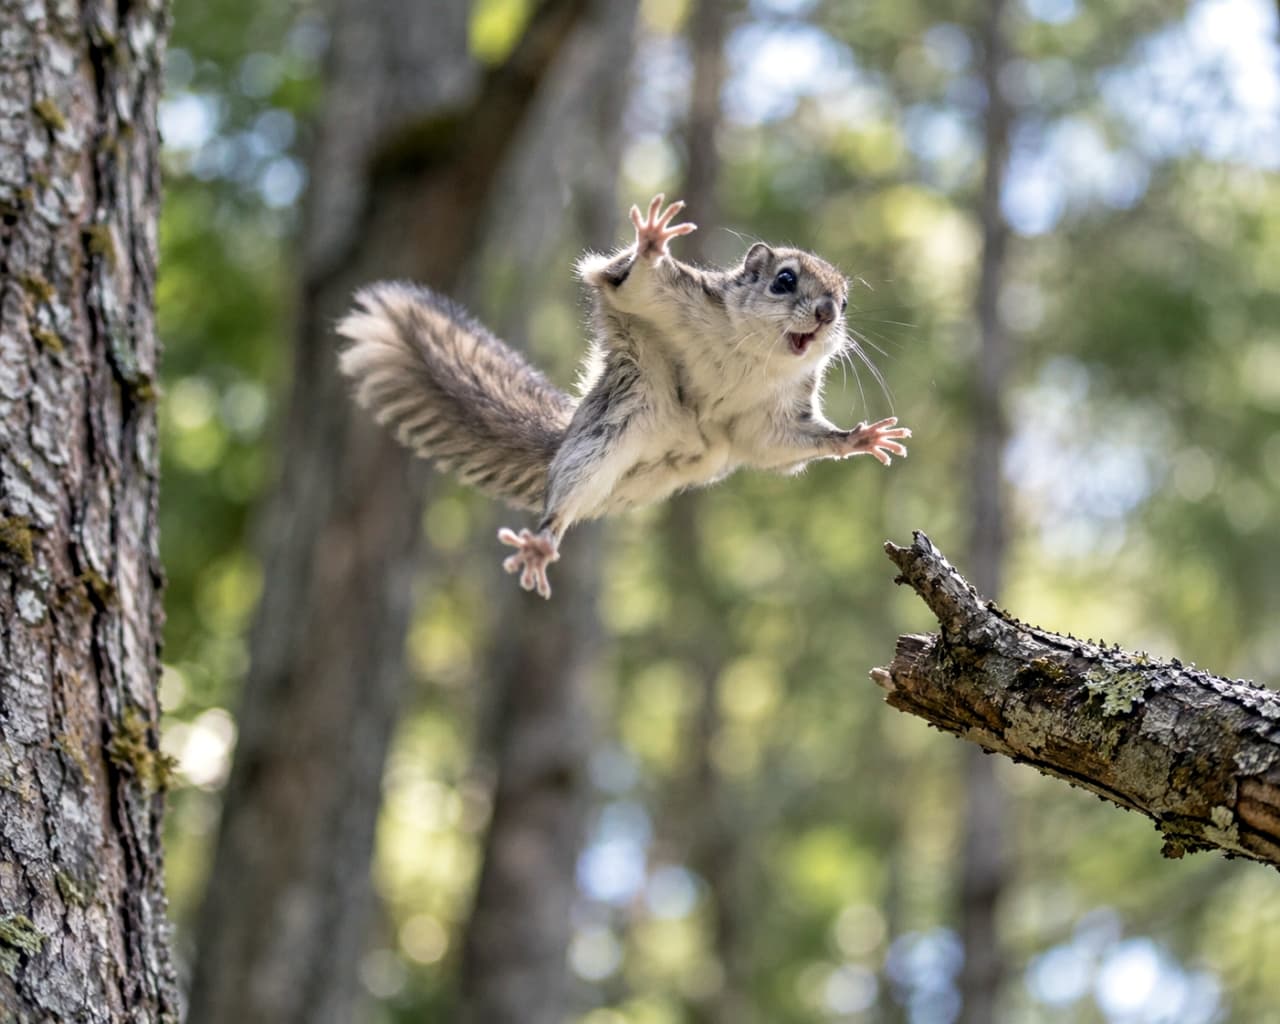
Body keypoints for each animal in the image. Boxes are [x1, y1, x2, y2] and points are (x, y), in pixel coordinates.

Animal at [338, 195, 910, 598]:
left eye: (844, 300)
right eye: (784, 280)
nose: (827, 314)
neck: (756, 355)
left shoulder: (772, 416)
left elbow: (781, 445)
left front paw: (859, 438)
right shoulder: (671, 298)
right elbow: (637, 281)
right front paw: (653, 241)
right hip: (611, 432)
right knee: (565, 500)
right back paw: (542, 542)